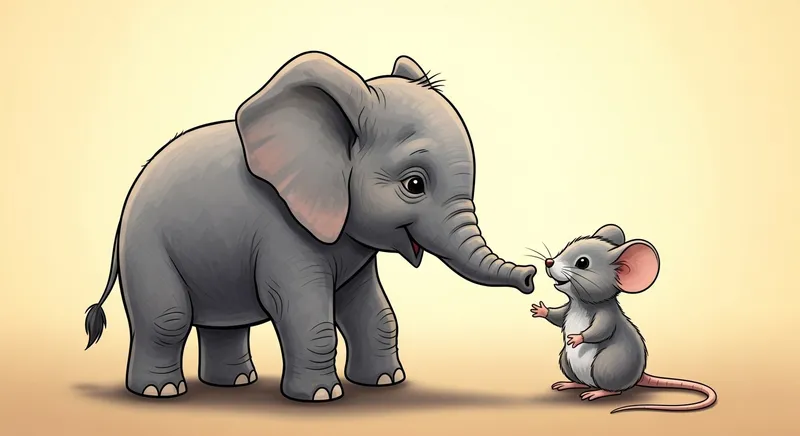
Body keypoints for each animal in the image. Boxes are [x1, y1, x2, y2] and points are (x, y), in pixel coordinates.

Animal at [83, 51, 537, 403]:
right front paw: (323, 396)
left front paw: (386, 382)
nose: (532, 276)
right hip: (146, 246)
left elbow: (373, 309)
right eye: (414, 185)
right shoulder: (283, 231)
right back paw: (161, 392)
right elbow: (302, 309)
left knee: (225, 323)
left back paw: (237, 383)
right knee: (168, 318)